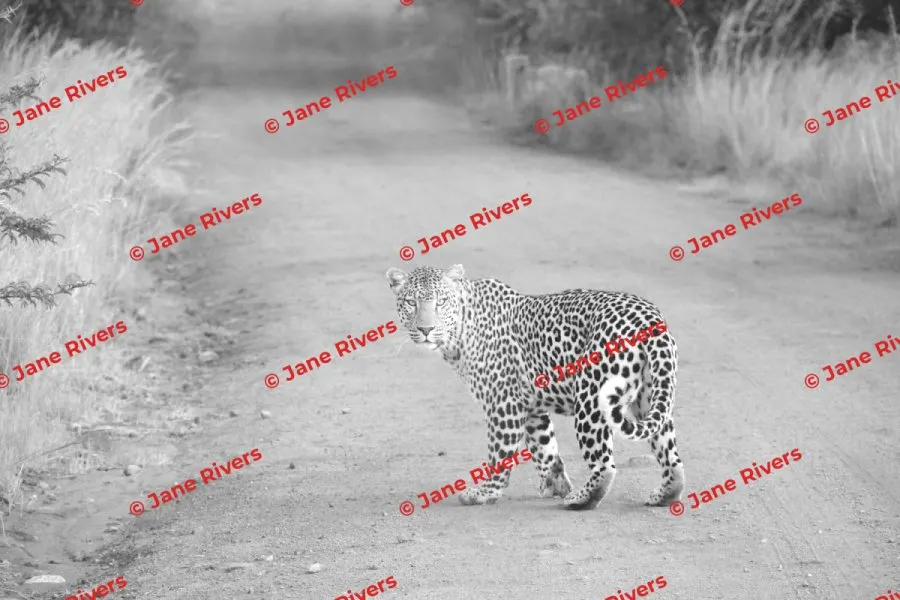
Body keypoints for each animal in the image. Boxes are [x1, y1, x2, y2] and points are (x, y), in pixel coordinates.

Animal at [385, 264, 685, 510]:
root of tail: (649, 318)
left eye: (441, 302)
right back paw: (665, 494)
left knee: (604, 464)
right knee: (671, 455)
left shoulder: (503, 404)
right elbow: (545, 449)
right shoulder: (531, 407)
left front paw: (484, 493)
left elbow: (499, 453)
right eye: (411, 303)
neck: (460, 331)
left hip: (591, 399)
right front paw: (556, 485)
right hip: (650, 396)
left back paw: (581, 499)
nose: (425, 329)